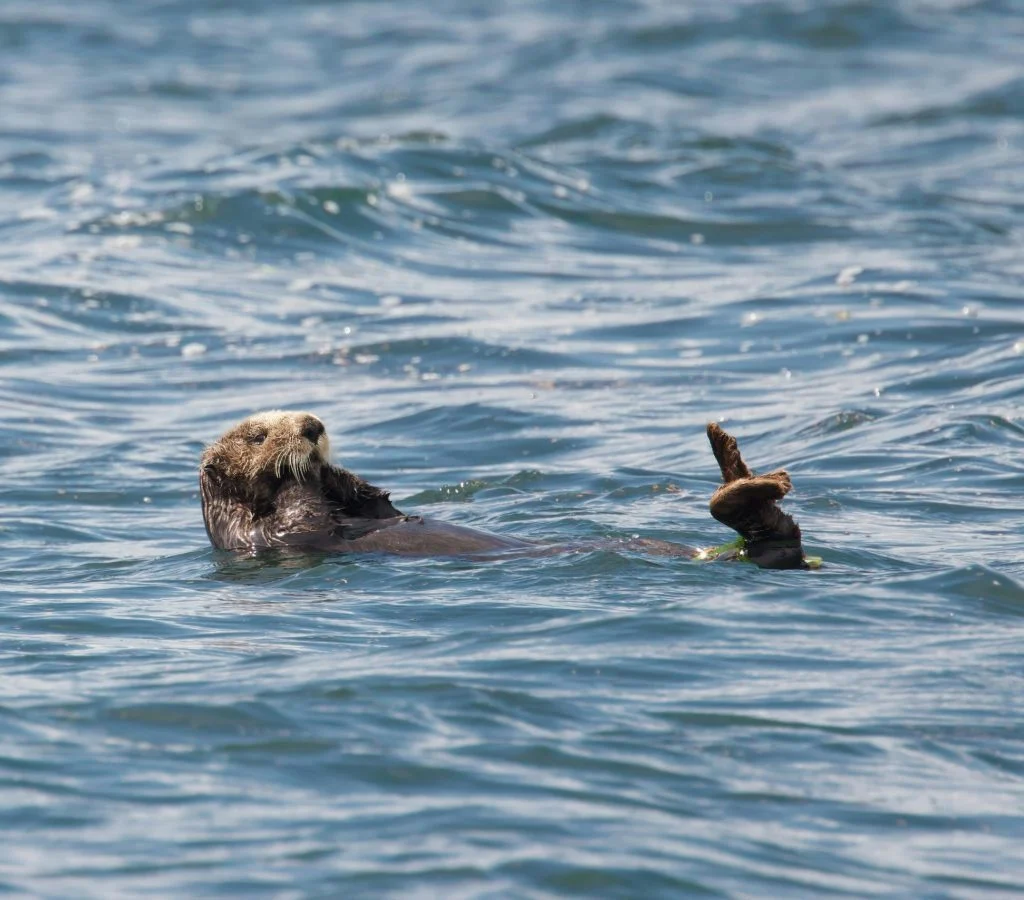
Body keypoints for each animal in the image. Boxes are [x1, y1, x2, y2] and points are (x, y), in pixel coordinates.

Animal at [199, 411, 810, 569]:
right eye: (257, 434)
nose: (312, 425)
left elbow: (381, 505)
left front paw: (339, 473)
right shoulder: (263, 535)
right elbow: (298, 513)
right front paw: (305, 472)